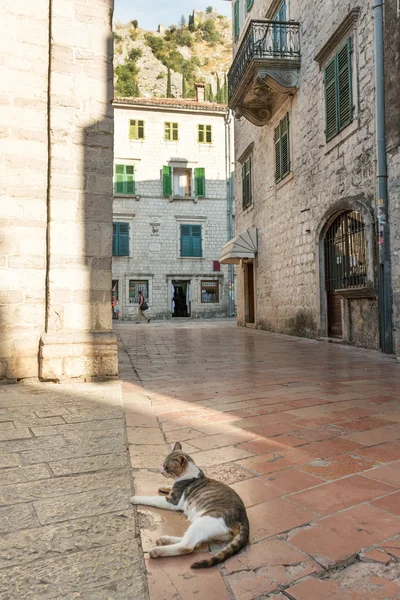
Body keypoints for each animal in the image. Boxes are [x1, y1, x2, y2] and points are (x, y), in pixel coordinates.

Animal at [131, 440, 250, 568]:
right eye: (162, 465)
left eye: (166, 467)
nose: (161, 471)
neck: (191, 474)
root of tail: (243, 518)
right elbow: (170, 486)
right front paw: (164, 487)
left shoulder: (173, 501)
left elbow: (151, 499)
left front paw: (135, 498)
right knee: (194, 541)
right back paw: (165, 540)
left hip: (204, 520)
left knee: (187, 546)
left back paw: (158, 550)